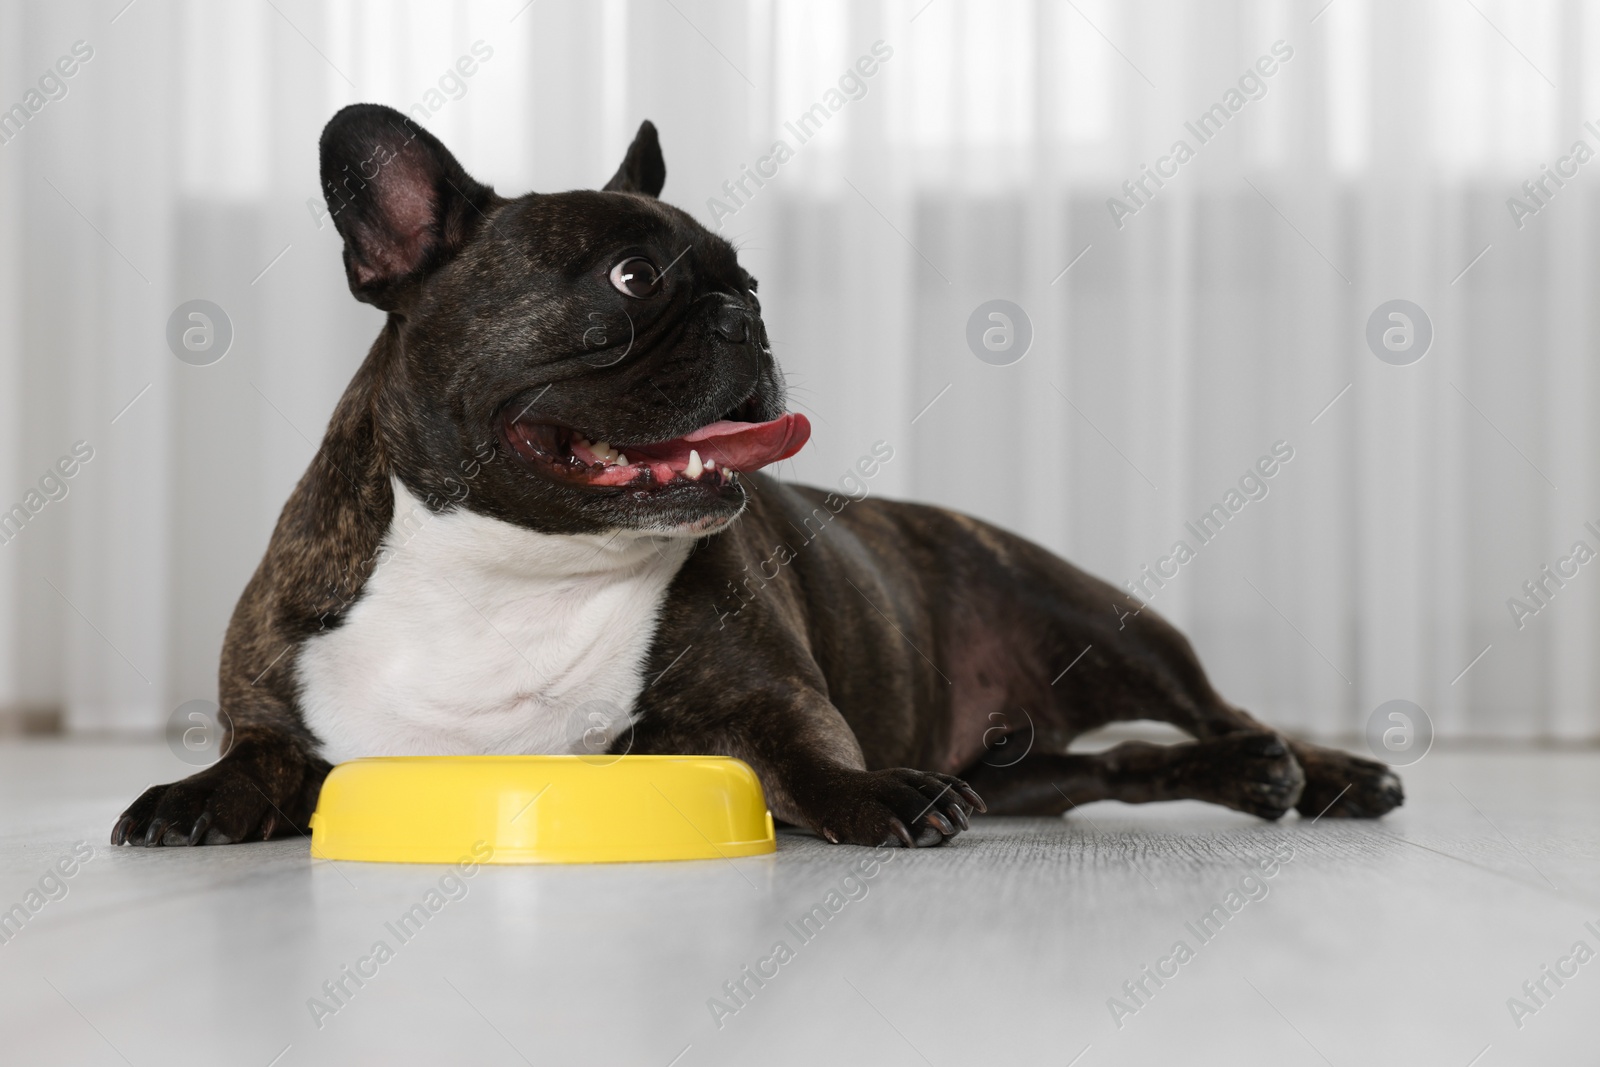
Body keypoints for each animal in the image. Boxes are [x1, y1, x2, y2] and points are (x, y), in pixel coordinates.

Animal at [112, 102, 1395, 851]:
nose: (746, 312)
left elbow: (803, 752)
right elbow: (257, 755)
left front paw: (874, 795)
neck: (508, 565)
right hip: (1031, 759)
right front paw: (191, 795)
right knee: (1118, 765)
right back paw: (1242, 776)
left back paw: (1321, 771)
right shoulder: (278, 707)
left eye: (752, 277)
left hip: (1100, 616)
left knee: (1221, 705)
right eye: (631, 277)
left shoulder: (766, 698)